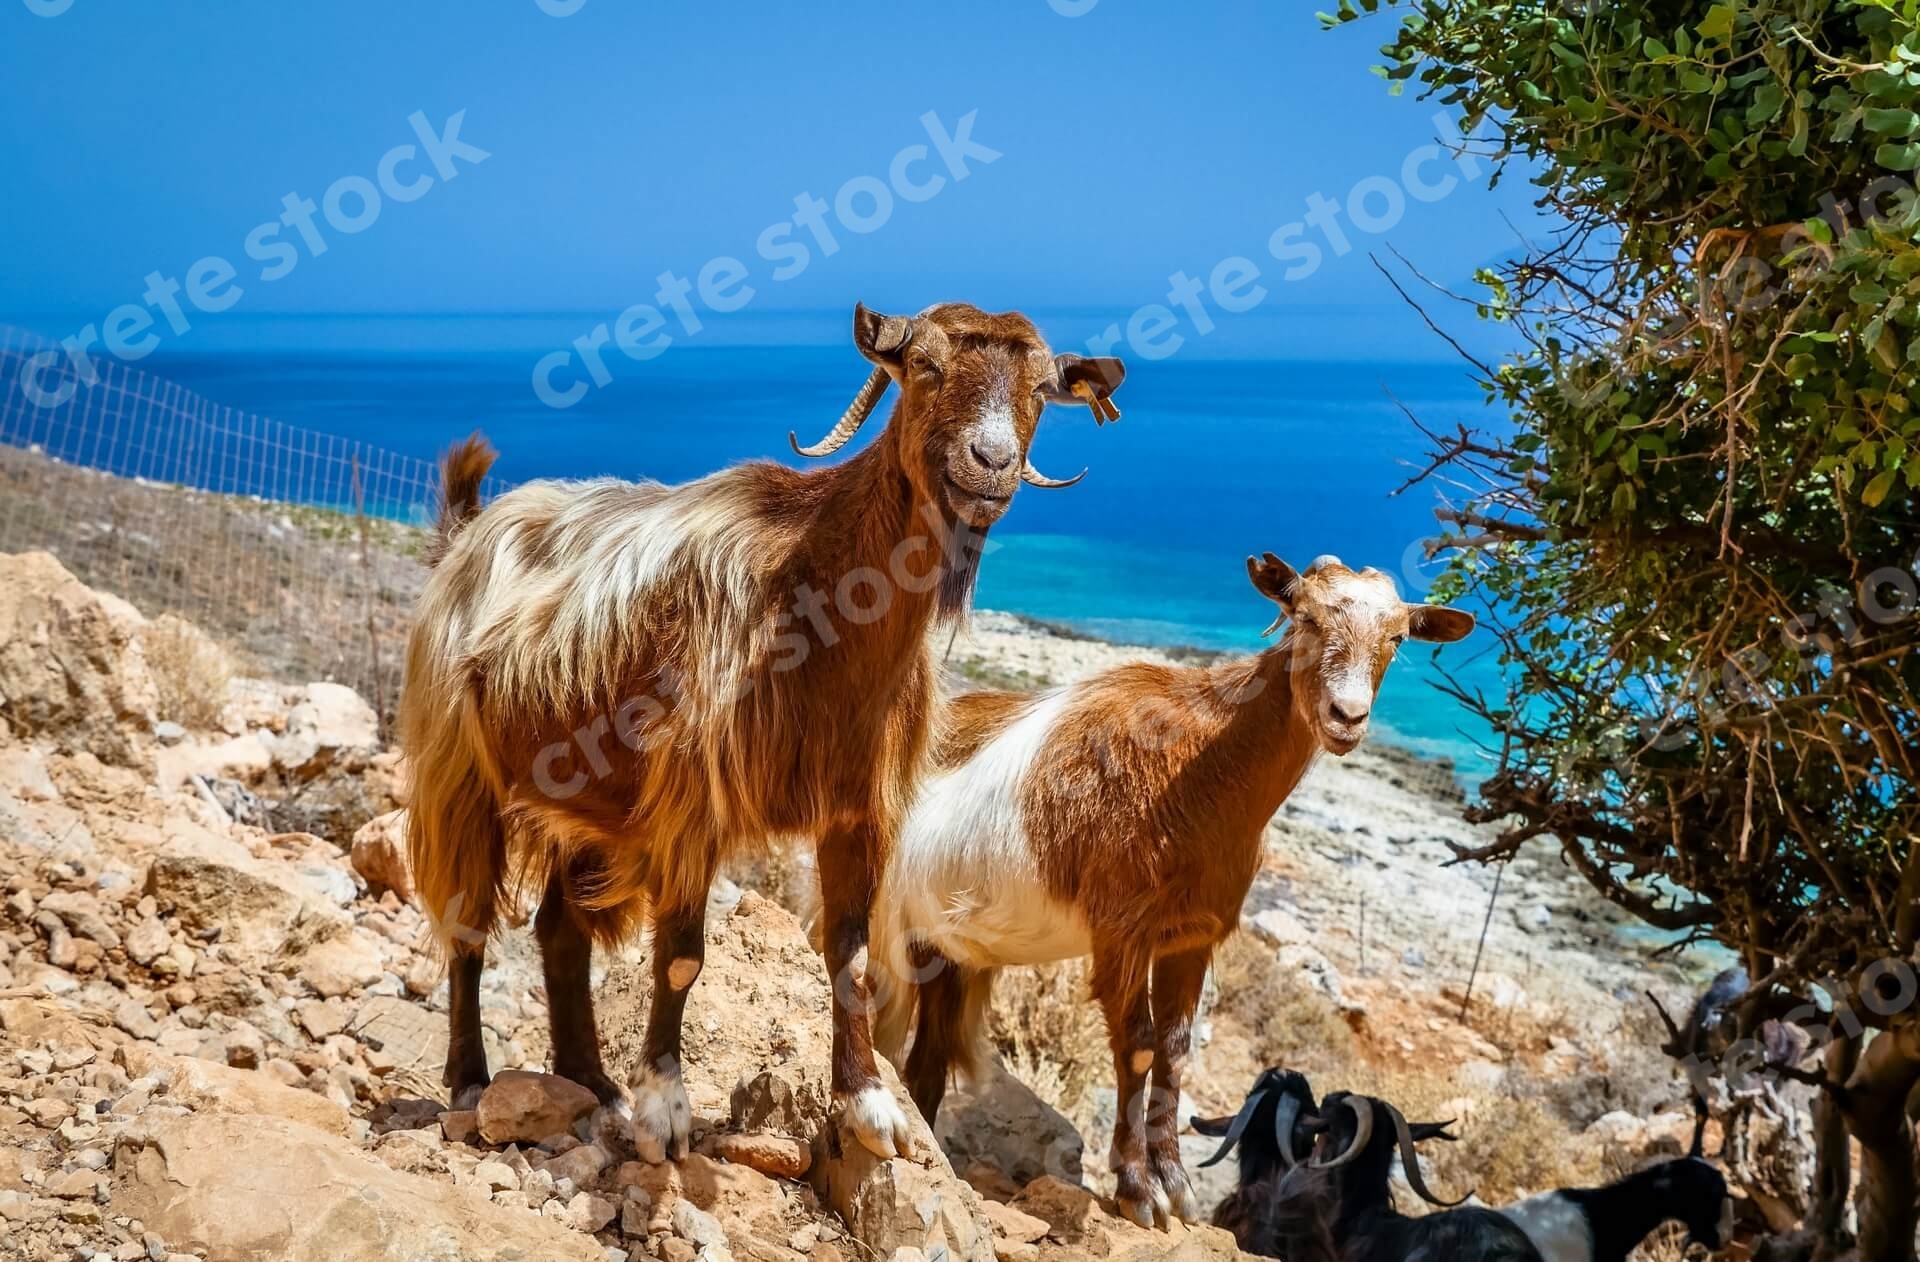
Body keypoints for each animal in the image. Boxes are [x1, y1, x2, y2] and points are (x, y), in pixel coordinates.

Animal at [405, 299, 1121, 1160]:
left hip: (590, 800)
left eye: (1042, 390)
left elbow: (849, 956)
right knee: (467, 926)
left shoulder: (858, 811)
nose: (991, 462)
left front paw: (868, 1105)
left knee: (559, 933)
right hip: (460, 771)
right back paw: (473, 1079)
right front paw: (665, 1113)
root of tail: (469, 532)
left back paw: (592, 1081)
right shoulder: (691, 802)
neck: (813, 588)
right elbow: (681, 958)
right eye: (924, 365)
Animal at [871, 553, 1466, 1221]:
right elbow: (1138, 1045)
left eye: (1398, 636)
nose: (1347, 717)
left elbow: (1176, 1049)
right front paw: (1138, 1190)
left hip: (945, 947)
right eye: (1306, 616)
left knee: (928, 1060)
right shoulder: (1121, 931)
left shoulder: (1192, 935)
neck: (1198, 769)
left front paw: (1175, 1185)